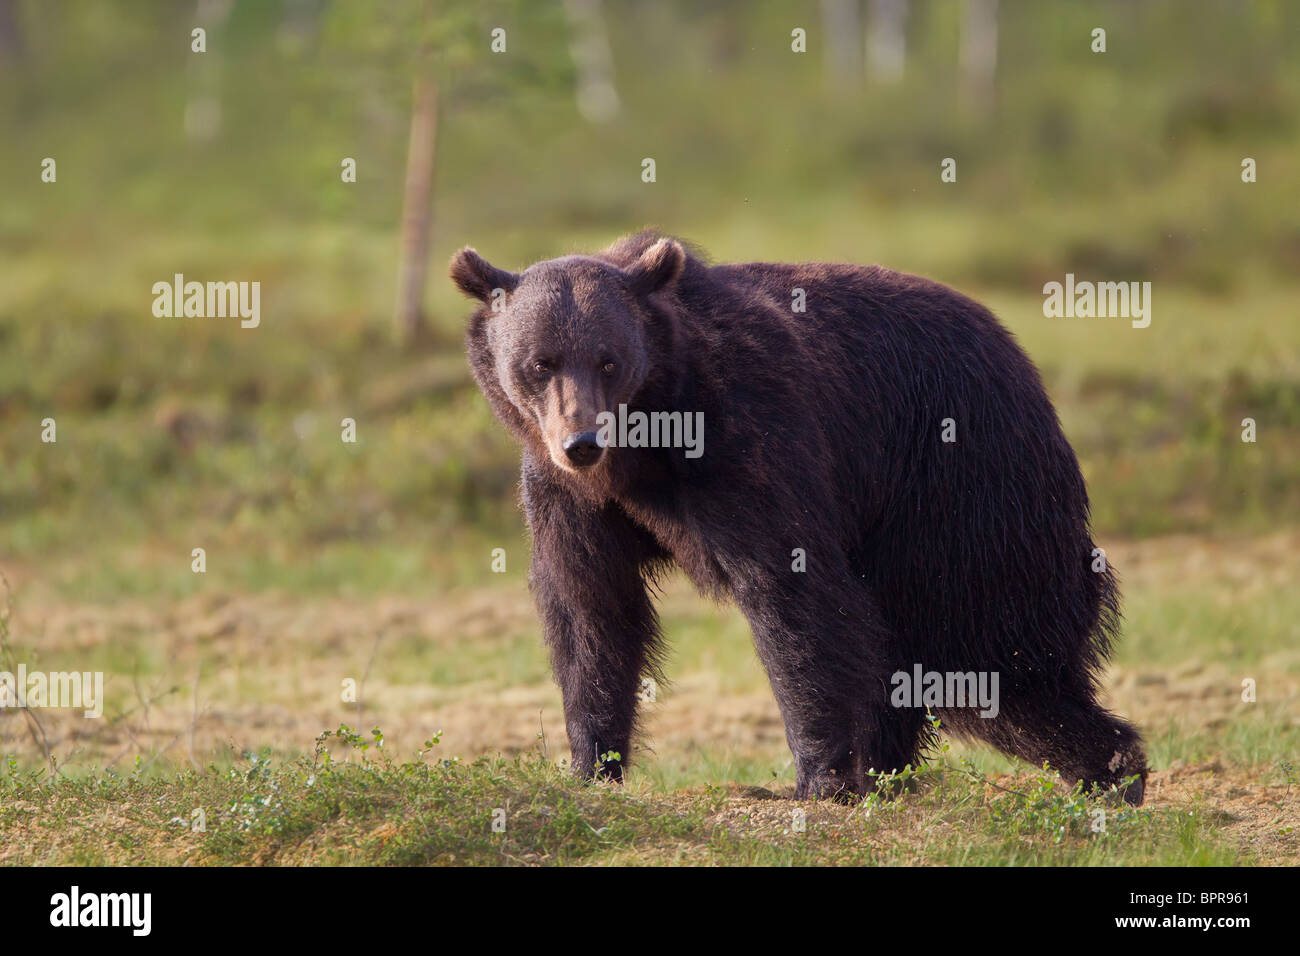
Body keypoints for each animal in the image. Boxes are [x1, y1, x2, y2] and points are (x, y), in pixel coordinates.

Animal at [450, 230, 1148, 806]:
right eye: (540, 362)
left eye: (608, 360)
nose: (582, 443)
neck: (645, 452)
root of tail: (1019, 357)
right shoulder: (567, 498)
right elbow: (590, 611)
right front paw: (592, 766)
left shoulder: (750, 439)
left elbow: (792, 593)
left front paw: (817, 779)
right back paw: (895, 772)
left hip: (961, 484)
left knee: (993, 649)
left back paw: (1112, 771)